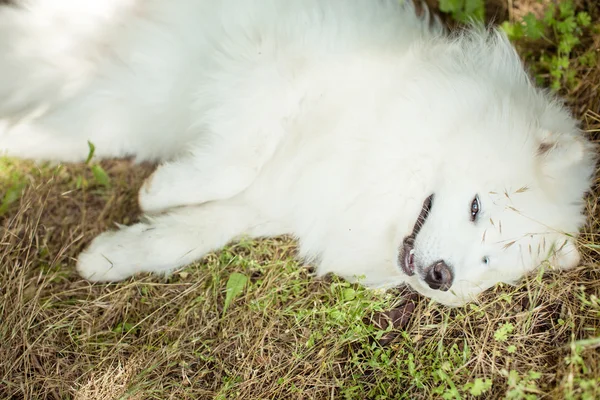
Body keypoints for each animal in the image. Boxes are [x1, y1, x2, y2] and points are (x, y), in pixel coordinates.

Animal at [0, 0, 596, 306]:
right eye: (477, 208)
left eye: (488, 263)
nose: (441, 276)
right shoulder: (270, 66)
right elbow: (237, 159)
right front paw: (159, 191)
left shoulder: (279, 201)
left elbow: (189, 234)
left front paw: (109, 257)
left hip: (109, 114)